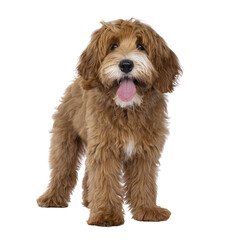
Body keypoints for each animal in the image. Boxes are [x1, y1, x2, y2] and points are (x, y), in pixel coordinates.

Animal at [36, 19, 181, 227]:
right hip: (65, 140)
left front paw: (147, 210)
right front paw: (106, 214)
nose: (126, 64)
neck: (128, 110)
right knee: (62, 169)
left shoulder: (144, 151)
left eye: (141, 46)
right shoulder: (105, 148)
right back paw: (52, 198)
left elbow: (144, 181)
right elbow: (104, 180)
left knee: (88, 174)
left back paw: (89, 200)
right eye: (113, 46)